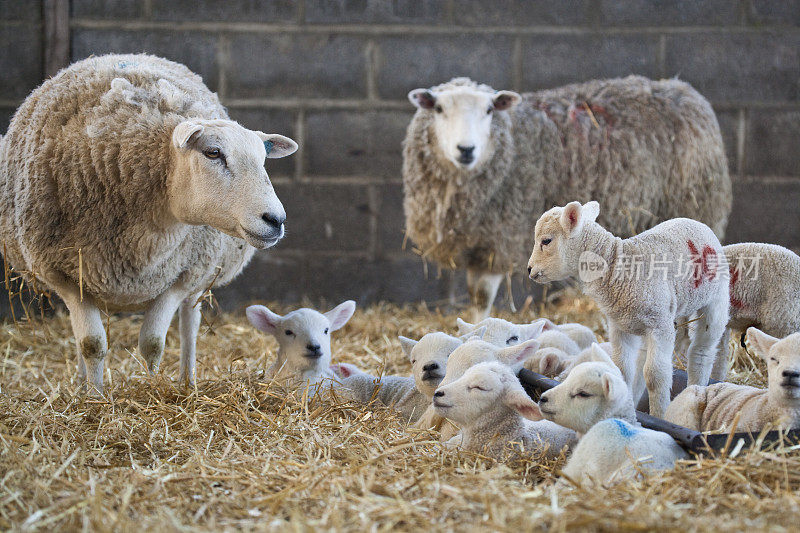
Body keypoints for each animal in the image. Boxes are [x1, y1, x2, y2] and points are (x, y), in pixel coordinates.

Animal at [0, 54, 298, 392]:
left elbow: (153, 343)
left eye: (263, 160)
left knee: (190, 324)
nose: (276, 220)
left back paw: (188, 382)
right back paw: (81, 383)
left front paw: (151, 385)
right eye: (213, 152)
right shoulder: (64, 276)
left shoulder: (181, 276)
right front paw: (94, 395)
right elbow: (90, 343)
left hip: (200, 272)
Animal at [404, 75, 736, 316]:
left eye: (489, 111)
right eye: (438, 109)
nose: (466, 150)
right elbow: (475, 297)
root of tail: (684, 89)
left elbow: (483, 299)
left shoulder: (500, 240)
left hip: (697, 203)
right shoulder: (478, 243)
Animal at [528, 198, 728, 416]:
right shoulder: (620, 326)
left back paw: (695, 385)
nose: (529, 269)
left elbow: (656, 375)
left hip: (716, 301)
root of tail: (700, 224)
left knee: (701, 351)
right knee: (642, 360)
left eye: (546, 241)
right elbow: (622, 370)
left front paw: (659, 414)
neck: (618, 267)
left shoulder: (660, 325)